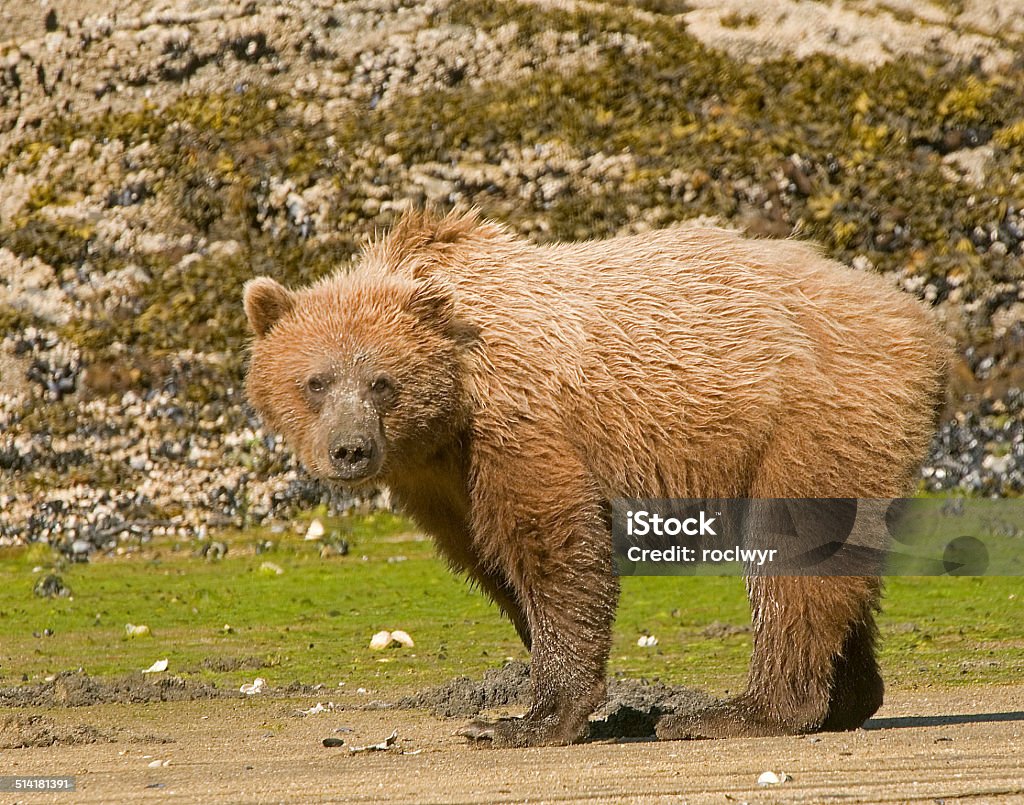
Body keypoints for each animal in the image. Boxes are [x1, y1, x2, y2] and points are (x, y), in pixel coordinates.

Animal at [243, 208, 946, 745]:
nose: (351, 450)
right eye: (316, 380)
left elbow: (555, 547)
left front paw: (528, 718)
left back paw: (737, 711)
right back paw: (847, 697)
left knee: (790, 558)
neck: (448, 413)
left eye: (381, 382)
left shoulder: (519, 424)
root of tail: (923, 323)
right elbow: (493, 563)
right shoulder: (441, 483)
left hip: (807, 418)